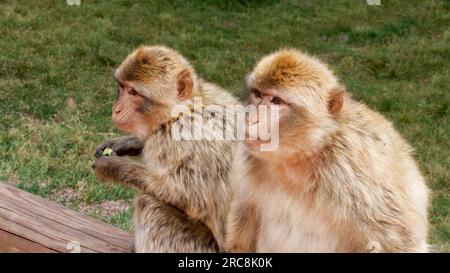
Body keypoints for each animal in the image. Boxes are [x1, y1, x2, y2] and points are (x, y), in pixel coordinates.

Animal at [92, 45, 239, 252]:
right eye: (122, 87)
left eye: (134, 93)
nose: (116, 109)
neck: (185, 110)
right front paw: (123, 144)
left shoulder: (189, 139)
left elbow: (190, 197)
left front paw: (113, 166)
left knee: (151, 204)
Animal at [225, 48, 428, 251]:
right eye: (257, 95)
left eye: (276, 101)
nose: (252, 119)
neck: (298, 159)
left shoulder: (352, 173)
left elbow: (395, 240)